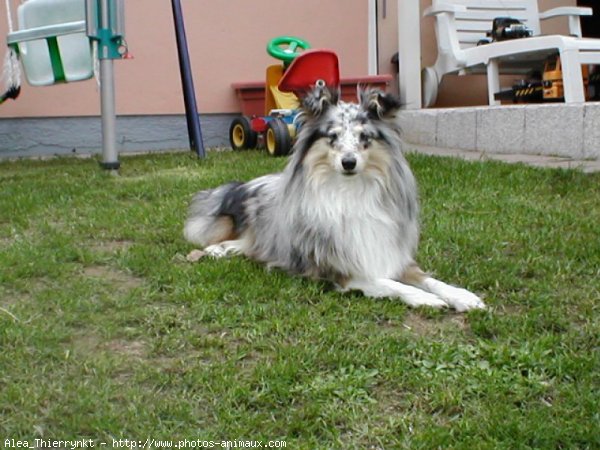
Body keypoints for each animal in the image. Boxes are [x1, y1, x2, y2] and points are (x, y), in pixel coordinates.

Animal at [184, 86, 488, 312]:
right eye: (333, 136)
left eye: (364, 136)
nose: (349, 162)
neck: (349, 192)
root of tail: (240, 186)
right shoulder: (342, 270)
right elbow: (389, 283)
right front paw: (424, 299)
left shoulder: (392, 255)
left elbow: (431, 280)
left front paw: (462, 296)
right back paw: (216, 250)